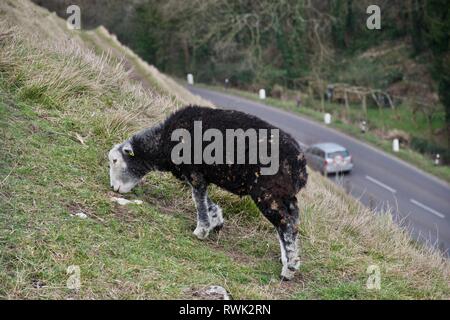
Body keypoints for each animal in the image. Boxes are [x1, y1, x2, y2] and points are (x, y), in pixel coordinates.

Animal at [107, 105, 308, 280]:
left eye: (115, 160)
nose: (113, 188)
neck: (163, 143)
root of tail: (300, 166)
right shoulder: (197, 175)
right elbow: (205, 199)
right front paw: (216, 220)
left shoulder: (194, 173)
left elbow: (198, 199)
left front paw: (201, 231)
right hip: (285, 195)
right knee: (292, 222)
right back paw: (288, 260)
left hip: (267, 193)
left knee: (285, 224)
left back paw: (289, 268)